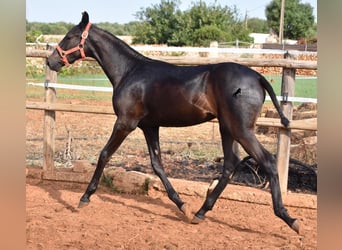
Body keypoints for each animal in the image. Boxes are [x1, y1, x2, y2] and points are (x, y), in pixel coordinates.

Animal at [47, 11, 300, 233]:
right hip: (227, 128)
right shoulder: (149, 126)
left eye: (69, 36)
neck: (129, 72)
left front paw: (84, 197)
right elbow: (157, 164)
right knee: (230, 165)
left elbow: (104, 154)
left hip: (240, 129)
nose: (51, 61)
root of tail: (257, 76)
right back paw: (200, 212)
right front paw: (182, 205)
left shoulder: (125, 123)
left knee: (267, 162)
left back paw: (288, 218)